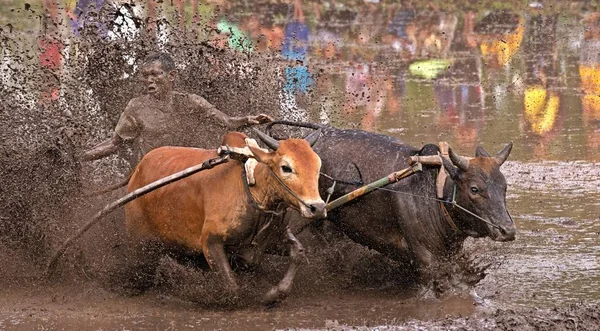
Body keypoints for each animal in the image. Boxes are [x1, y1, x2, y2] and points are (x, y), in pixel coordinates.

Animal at [123, 130, 326, 304]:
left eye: (318, 167)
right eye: (286, 168)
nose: (317, 208)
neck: (252, 189)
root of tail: (137, 170)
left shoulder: (272, 240)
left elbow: (298, 252)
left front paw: (273, 294)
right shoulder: (211, 241)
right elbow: (232, 288)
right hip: (139, 239)